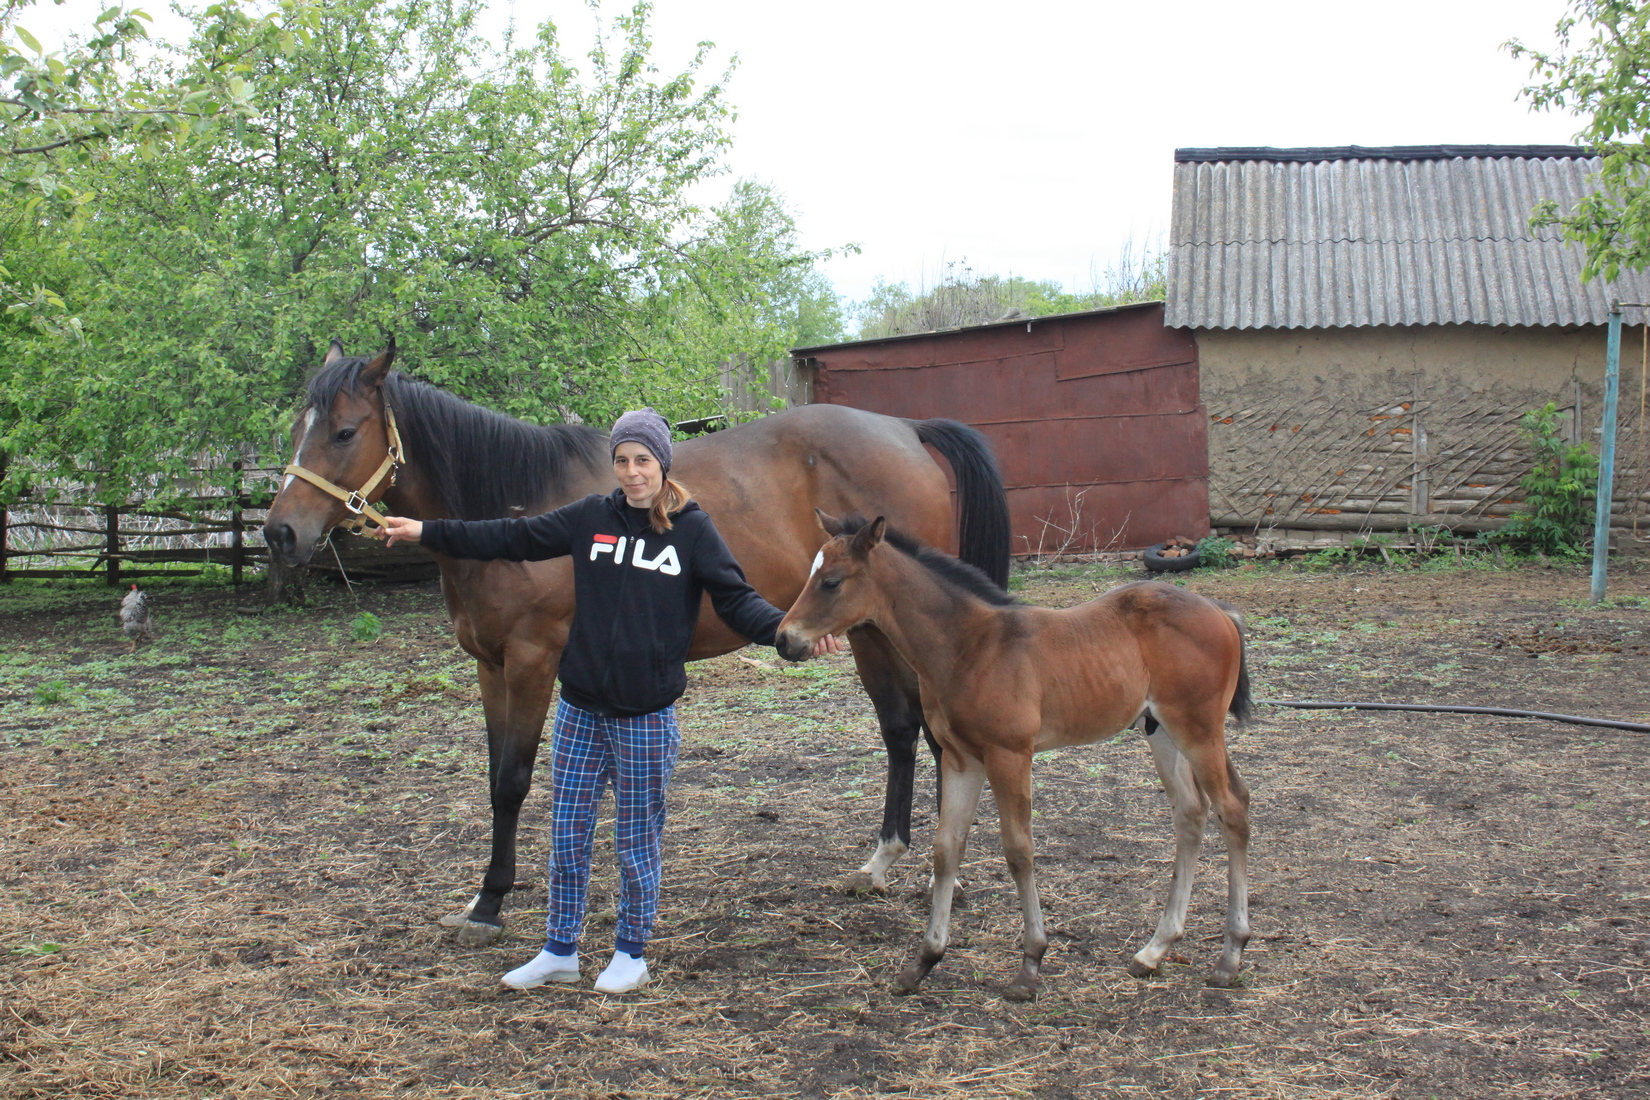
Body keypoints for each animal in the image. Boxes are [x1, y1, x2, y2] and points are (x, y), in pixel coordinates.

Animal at [259, 338, 1009, 949]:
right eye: (295, 429)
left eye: (344, 431)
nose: (279, 533)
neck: (513, 501)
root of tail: (906, 429)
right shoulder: (490, 668)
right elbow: (504, 779)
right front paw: (488, 898)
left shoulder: (531, 664)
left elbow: (514, 781)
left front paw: (492, 905)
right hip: (866, 631)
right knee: (900, 730)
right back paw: (879, 863)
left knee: (930, 737)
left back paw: (937, 876)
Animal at [772, 511, 1247, 1002]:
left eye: (831, 581)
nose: (783, 639)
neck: (970, 646)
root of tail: (1221, 611)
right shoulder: (961, 759)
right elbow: (947, 848)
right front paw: (923, 961)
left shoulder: (1009, 755)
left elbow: (1018, 850)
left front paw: (1030, 964)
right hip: (1163, 734)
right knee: (1191, 813)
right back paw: (1154, 950)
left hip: (1198, 730)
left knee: (1232, 809)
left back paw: (1229, 957)